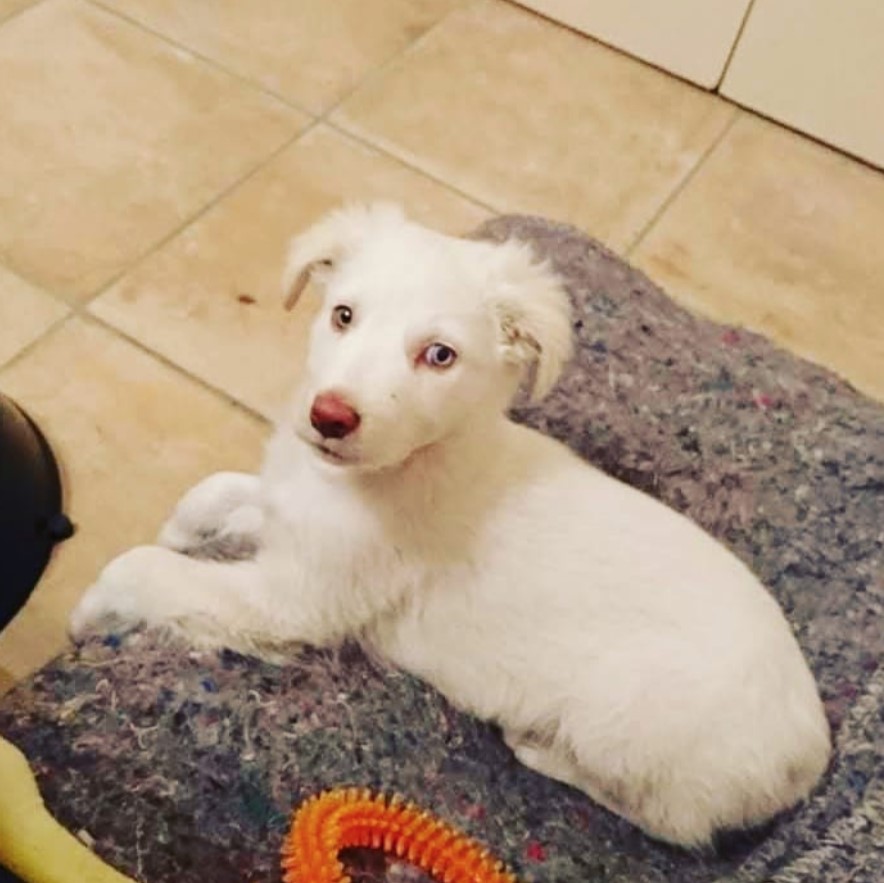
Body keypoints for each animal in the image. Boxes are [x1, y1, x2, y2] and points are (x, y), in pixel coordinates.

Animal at [72, 204, 832, 848]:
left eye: (439, 355)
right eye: (343, 315)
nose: (328, 416)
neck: (395, 465)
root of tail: (813, 755)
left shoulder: (294, 600)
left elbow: (143, 567)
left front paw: (91, 610)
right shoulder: (291, 513)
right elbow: (217, 492)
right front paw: (185, 528)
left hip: (630, 725)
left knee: (667, 822)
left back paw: (539, 747)